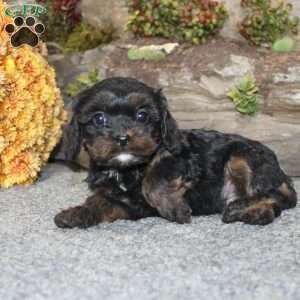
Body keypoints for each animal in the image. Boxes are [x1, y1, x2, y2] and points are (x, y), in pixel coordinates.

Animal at [54, 77, 298, 227]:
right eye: (99, 118)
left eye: (142, 116)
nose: (123, 138)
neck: (126, 169)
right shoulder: (121, 199)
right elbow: (99, 202)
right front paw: (75, 213)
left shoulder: (180, 158)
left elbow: (155, 177)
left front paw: (174, 208)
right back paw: (249, 212)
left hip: (244, 156)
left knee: (278, 195)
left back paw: (242, 208)